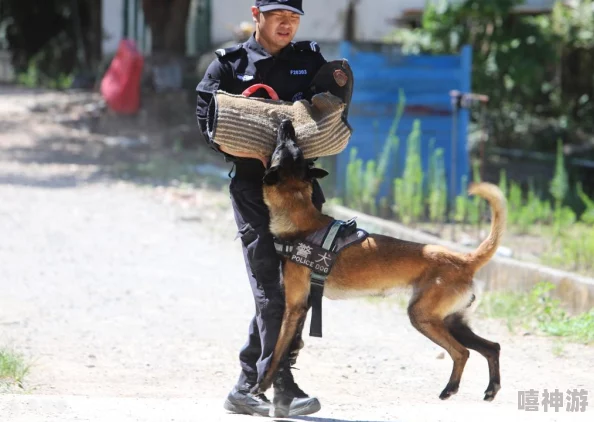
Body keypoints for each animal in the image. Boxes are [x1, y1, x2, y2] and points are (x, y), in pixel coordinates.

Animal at [256, 119, 502, 418]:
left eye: (283, 147)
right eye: (293, 148)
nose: (286, 122)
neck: (301, 217)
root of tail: (465, 259)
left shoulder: (294, 307)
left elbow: (278, 350)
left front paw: (262, 385)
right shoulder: (306, 304)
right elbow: (288, 348)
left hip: (422, 317)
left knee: (462, 352)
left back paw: (450, 389)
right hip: (453, 321)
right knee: (491, 347)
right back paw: (491, 389)